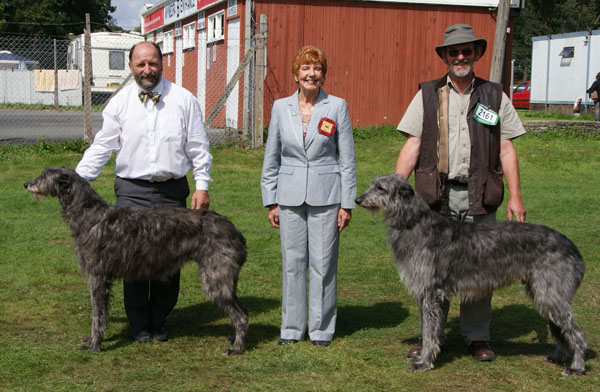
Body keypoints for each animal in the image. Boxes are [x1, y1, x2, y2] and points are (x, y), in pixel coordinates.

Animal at [24, 167, 250, 356]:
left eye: (44, 175)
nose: (26, 184)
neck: (89, 216)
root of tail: (236, 231)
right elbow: (102, 315)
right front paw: (93, 340)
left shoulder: (97, 277)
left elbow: (97, 315)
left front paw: (94, 345)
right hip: (225, 278)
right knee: (243, 310)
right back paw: (234, 338)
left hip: (215, 278)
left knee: (240, 315)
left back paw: (237, 348)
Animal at [356, 174, 584, 374]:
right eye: (372, 184)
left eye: (380, 188)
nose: (358, 200)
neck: (414, 222)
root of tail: (573, 247)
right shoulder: (425, 294)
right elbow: (428, 329)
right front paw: (423, 356)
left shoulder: (430, 293)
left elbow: (429, 333)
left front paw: (424, 362)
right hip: (543, 294)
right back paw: (560, 356)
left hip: (550, 294)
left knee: (577, 332)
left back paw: (577, 367)